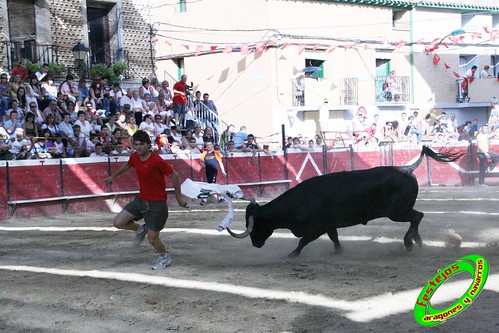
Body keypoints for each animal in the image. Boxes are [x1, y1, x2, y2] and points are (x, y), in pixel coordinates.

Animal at [229, 146, 466, 256]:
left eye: (256, 224)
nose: (255, 243)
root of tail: (406, 168)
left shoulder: (316, 227)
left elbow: (302, 241)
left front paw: (291, 255)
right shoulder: (329, 225)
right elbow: (334, 238)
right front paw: (339, 251)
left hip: (397, 212)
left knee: (417, 216)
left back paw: (410, 243)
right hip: (400, 211)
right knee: (417, 217)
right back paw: (417, 241)